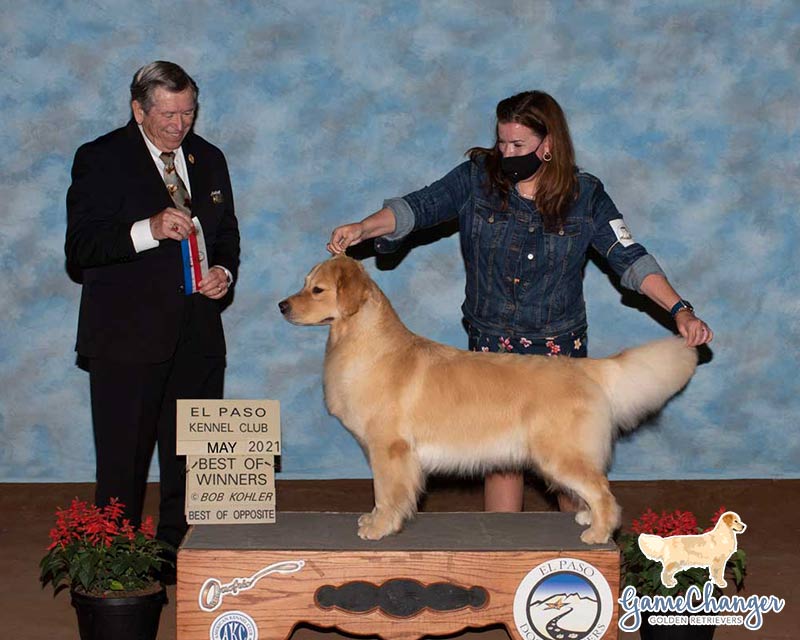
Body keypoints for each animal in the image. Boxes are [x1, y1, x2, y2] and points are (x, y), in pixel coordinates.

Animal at [278, 256, 696, 544]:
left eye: (317, 290)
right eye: (304, 284)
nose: (282, 306)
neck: (362, 343)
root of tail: (587, 369)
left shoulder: (390, 449)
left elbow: (386, 492)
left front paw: (380, 526)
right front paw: (376, 521)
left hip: (560, 454)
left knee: (604, 492)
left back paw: (598, 532)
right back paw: (587, 519)